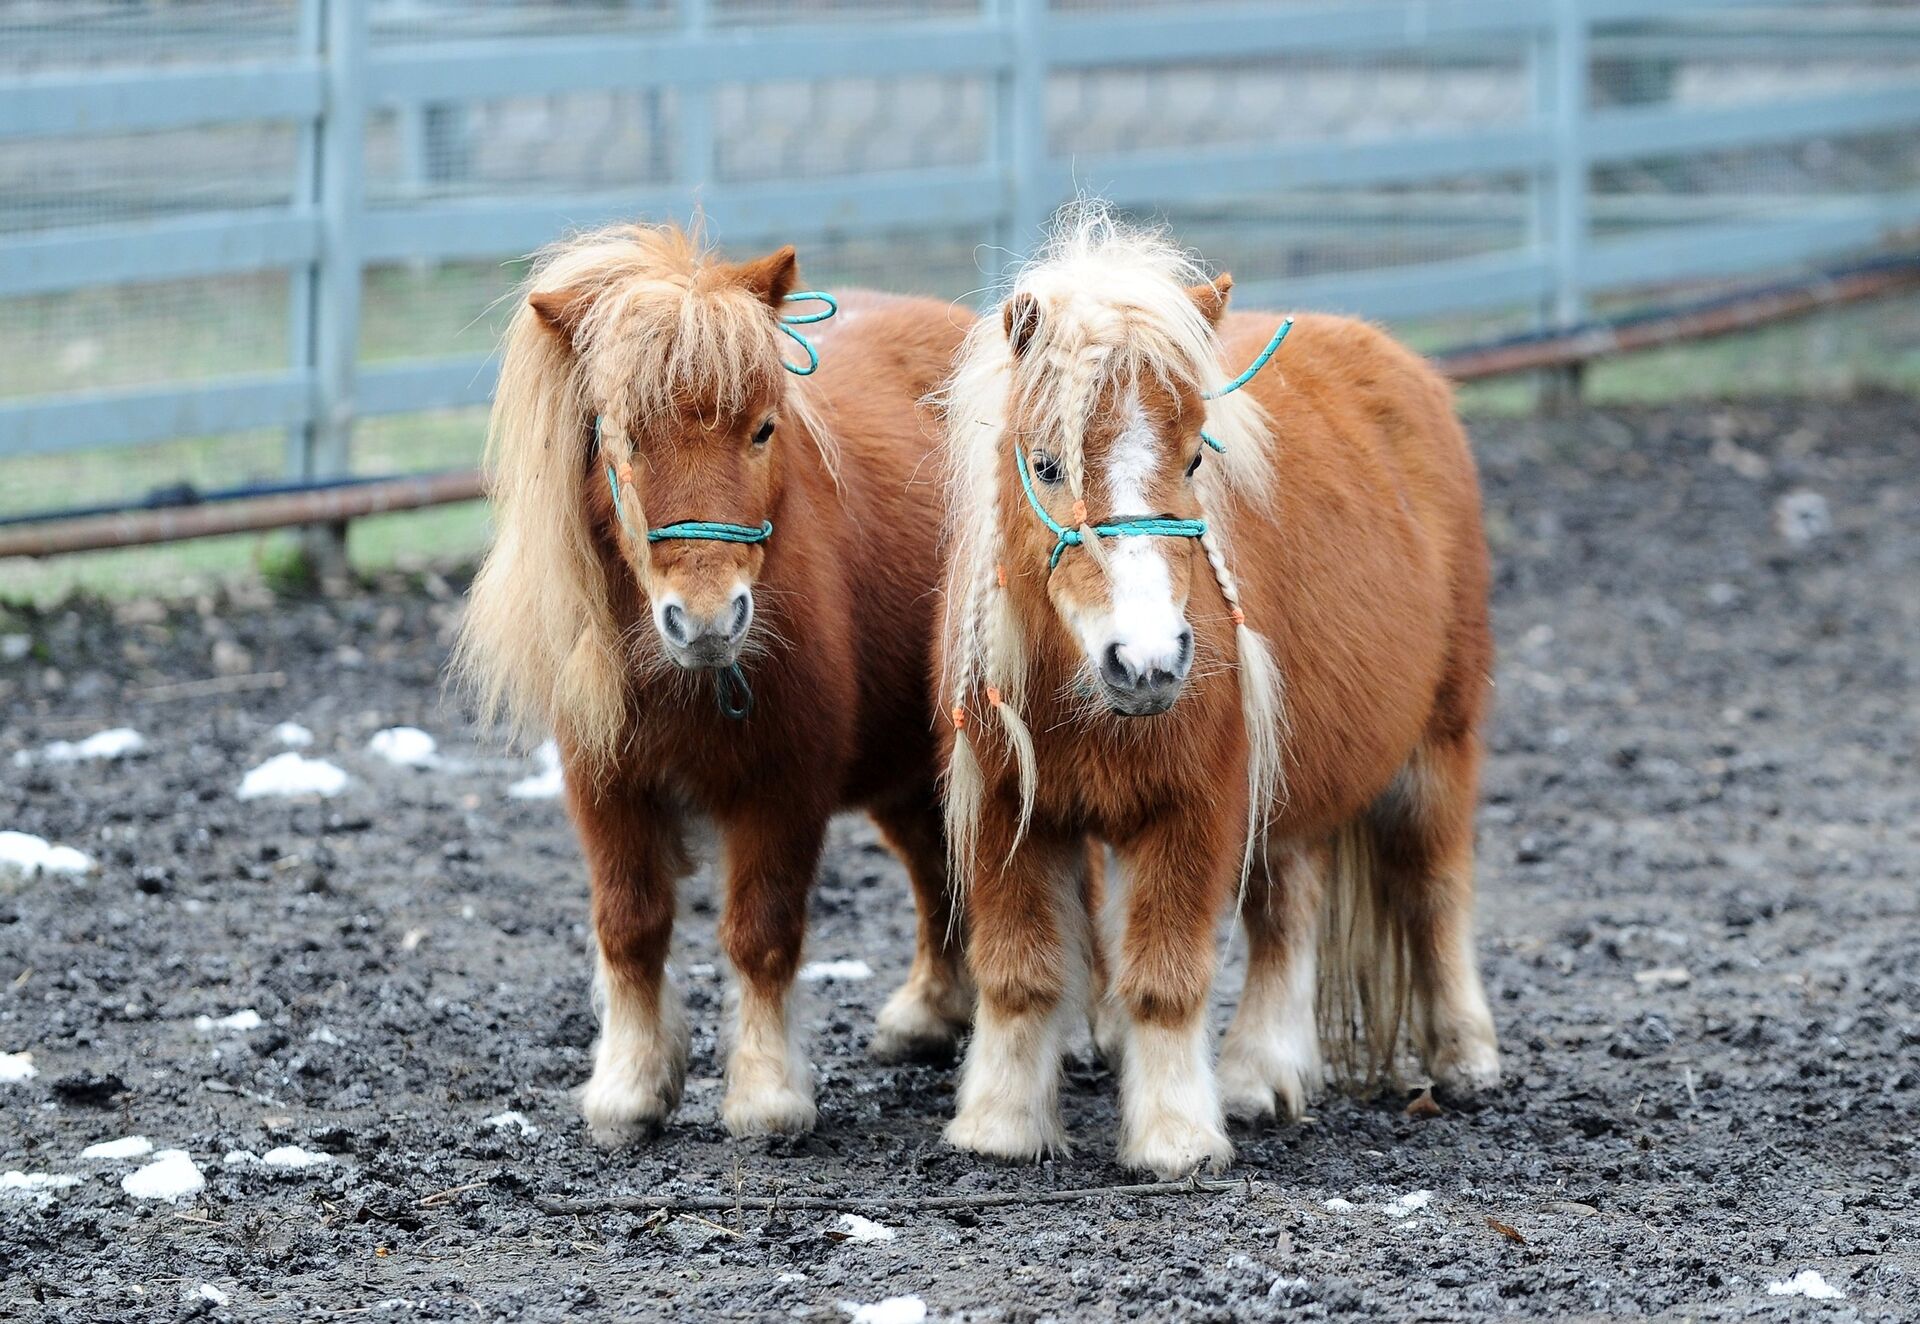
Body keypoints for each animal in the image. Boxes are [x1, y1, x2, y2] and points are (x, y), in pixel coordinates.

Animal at [453, 221, 975, 1135]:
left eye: (763, 430)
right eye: (621, 436)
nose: (705, 622)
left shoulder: (783, 790)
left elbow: (760, 935)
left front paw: (766, 1094)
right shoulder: (606, 789)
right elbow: (630, 928)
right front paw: (630, 1086)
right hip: (906, 767)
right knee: (931, 862)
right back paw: (929, 1014)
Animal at [929, 206, 1497, 1174]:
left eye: (1197, 459)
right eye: (1046, 465)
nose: (1148, 662)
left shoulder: (1194, 808)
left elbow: (1164, 979)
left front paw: (1174, 1139)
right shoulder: (1009, 808)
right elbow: (1019, 972)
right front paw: (1000, 1125)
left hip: (1436, 748)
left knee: (1434, 883)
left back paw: (1465, 1057)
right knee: (1288, 915)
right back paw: (1261, 1076)